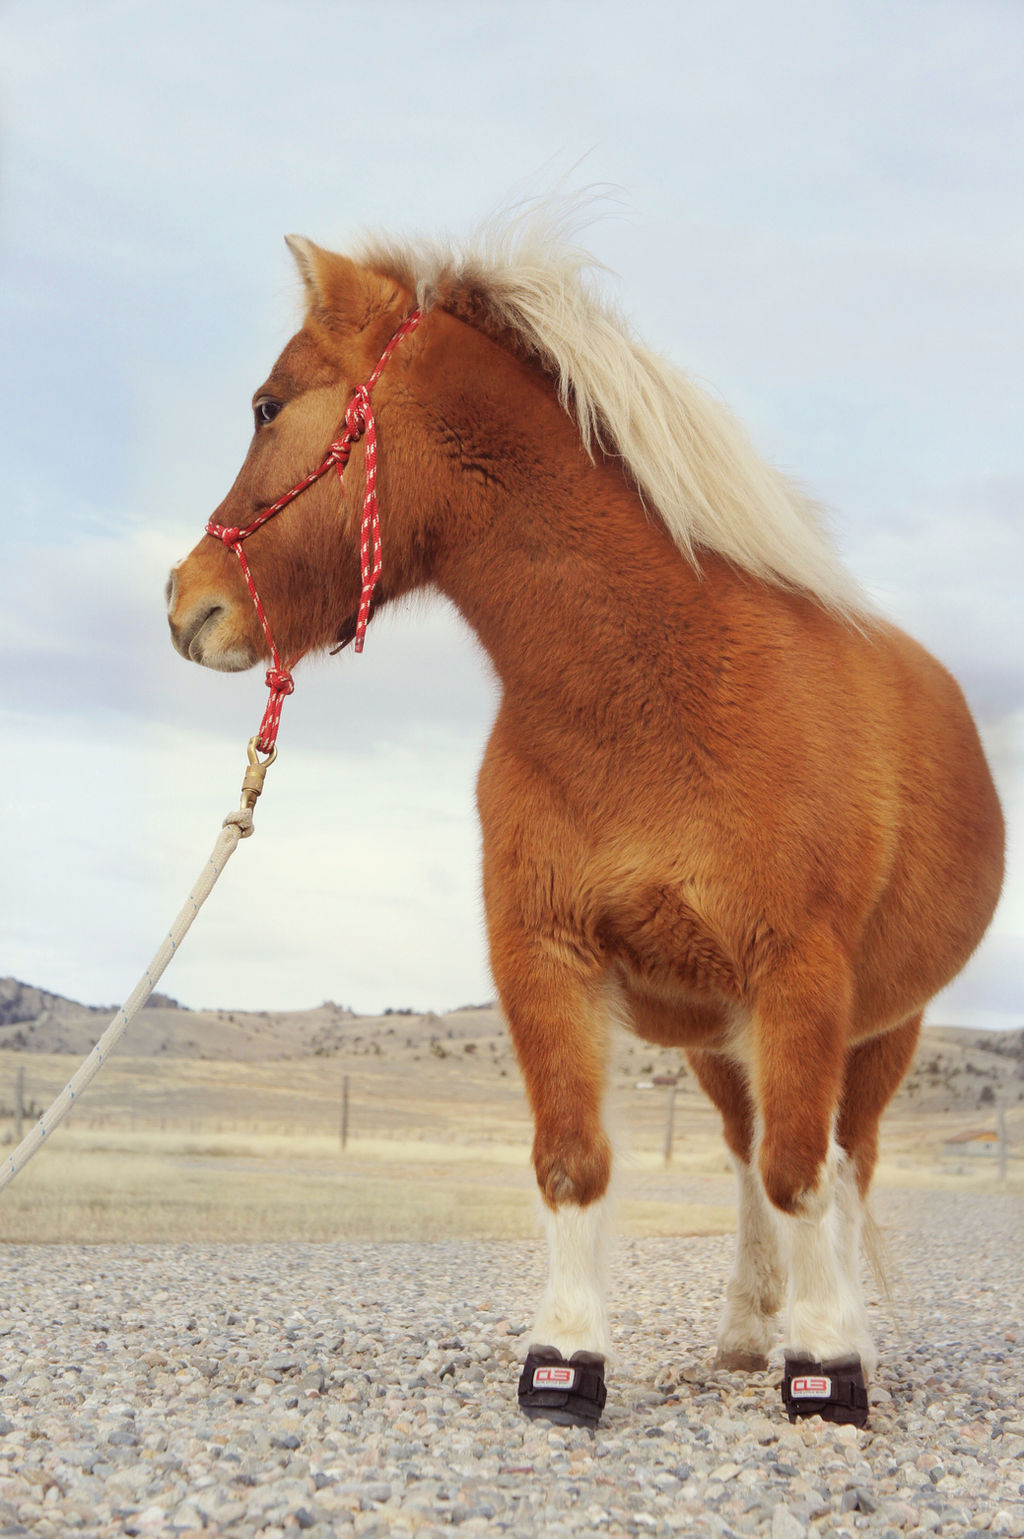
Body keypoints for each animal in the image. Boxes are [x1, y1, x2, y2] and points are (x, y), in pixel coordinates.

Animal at [166, 213, 1004, 1429]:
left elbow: (803, 1172)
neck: (660, 694)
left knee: (840, 1163)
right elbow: (576, 1161)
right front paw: (566, 1358)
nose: (186, 603)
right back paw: (745, 1330)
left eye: (269, 406)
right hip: (718, 1040)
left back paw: (830, 1329)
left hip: (878, 1029)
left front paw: (828, 1362)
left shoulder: (801, 977)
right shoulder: (545, 958)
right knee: (746, 1155)